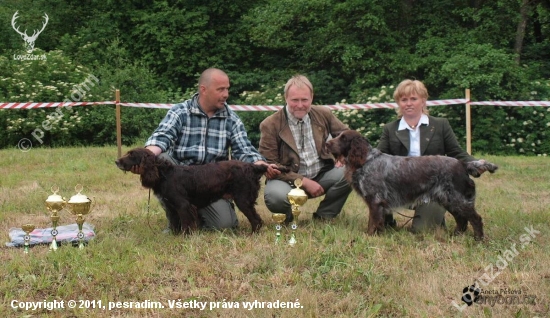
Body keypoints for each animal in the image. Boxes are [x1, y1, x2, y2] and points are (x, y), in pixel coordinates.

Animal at [328, 130, 500, 240]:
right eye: (338, 136)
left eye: (344, 138)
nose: (327, 144)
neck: (366, 160)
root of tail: (463, 164)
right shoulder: (379, 204)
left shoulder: (375, 201)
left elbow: (373, 223)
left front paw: (369, 238)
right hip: (449, 200)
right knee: (462, 220)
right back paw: (456, 236)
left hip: (458, 199)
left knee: (475, 218)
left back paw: (478, 239)